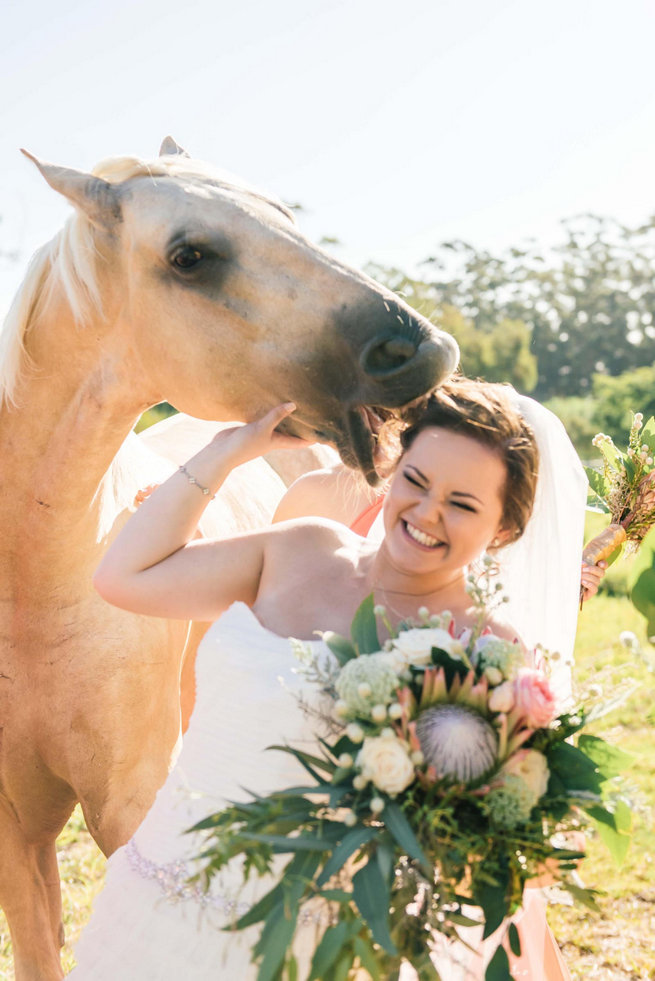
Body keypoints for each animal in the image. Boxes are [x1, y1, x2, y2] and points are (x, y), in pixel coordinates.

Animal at [0, 134, 458, 976]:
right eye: (190, 256)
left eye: (284, 214)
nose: (423, 350)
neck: (33, 589)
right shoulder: (16, 831)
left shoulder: (133, 801)